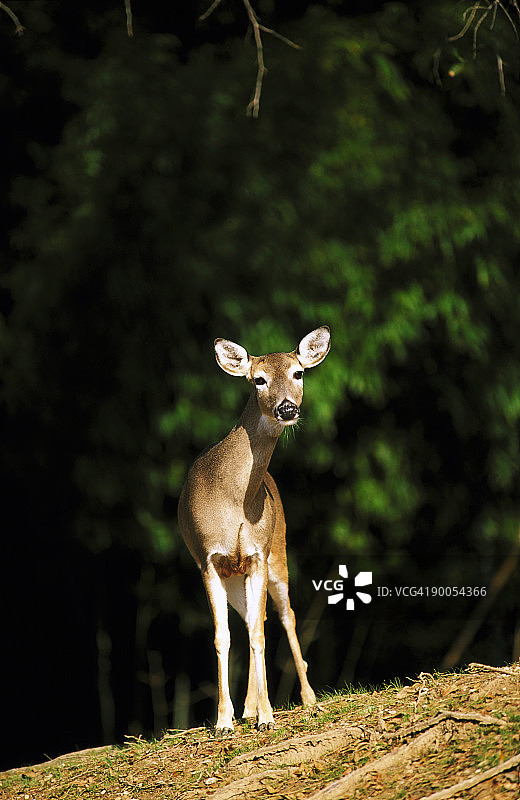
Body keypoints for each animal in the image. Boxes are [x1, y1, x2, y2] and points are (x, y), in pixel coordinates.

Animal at [177, 326, 331, 735]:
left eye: (298, 373)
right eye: (258, 379)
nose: (287, 408)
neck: (234, 499)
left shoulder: (258, 553)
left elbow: (260, 634)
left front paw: (267, 716)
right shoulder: (208, 559)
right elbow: (222, 636)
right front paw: (224, 720)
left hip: (279, 552)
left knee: (283, 615)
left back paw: (306, 698)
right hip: (236, 575)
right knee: (251, 619)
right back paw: (246, 708)